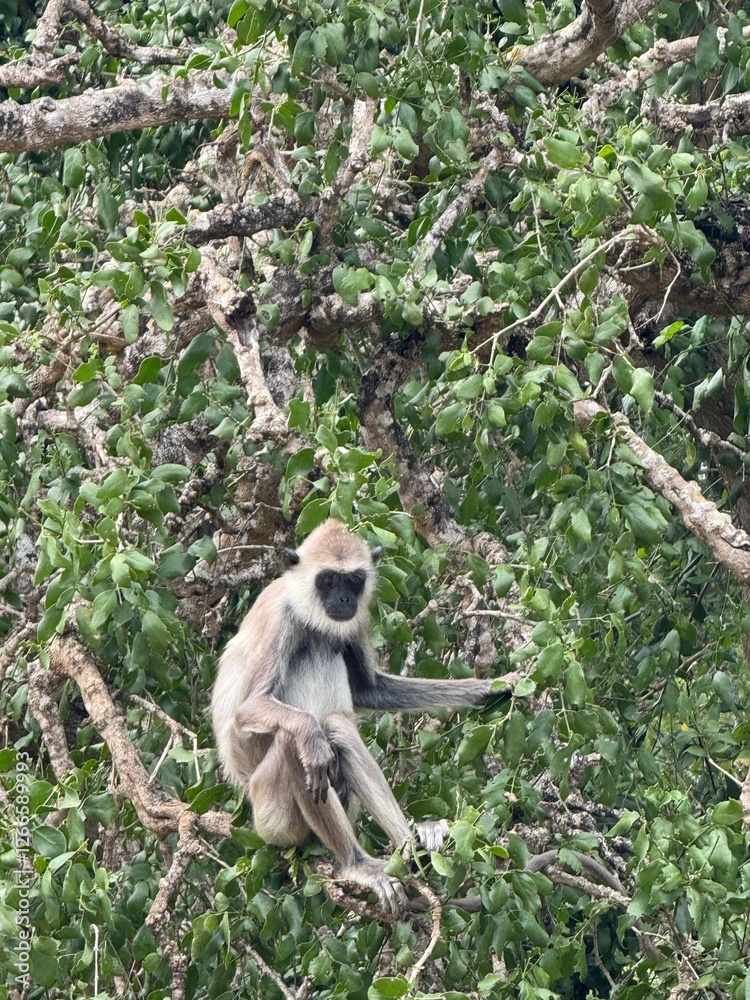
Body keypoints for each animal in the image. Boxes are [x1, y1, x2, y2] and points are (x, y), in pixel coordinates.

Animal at [211, 519, 496, 914]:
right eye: (329, 580)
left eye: (354, 581)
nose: (345, 600)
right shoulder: (280, 617)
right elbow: (248, 709)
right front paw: (309, 735)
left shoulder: (357, 620)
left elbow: (368, 690)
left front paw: (487, 689)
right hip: (270, 816)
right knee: (296, 739)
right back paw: (356, 864)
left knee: (339, 726)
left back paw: (413, 848)